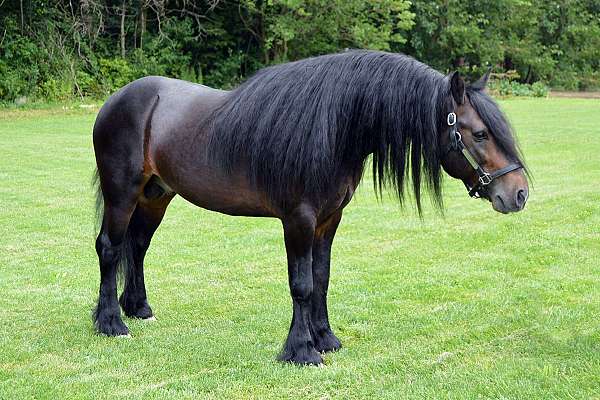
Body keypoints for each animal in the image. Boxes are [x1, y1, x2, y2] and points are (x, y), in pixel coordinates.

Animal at [91, 50, 528, 366]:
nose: (519, 193)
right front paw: (301, 350)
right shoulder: (297, 220)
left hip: (156, 195)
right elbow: (300, 284)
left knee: (137, 247)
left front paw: (326, 338)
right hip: (122, 193)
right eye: (479, 133)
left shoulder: (329, 220)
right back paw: (111, 323)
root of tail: (118, 100)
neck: (334, 131)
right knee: (109, 248)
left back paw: (138, 308)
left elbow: (321, 278)